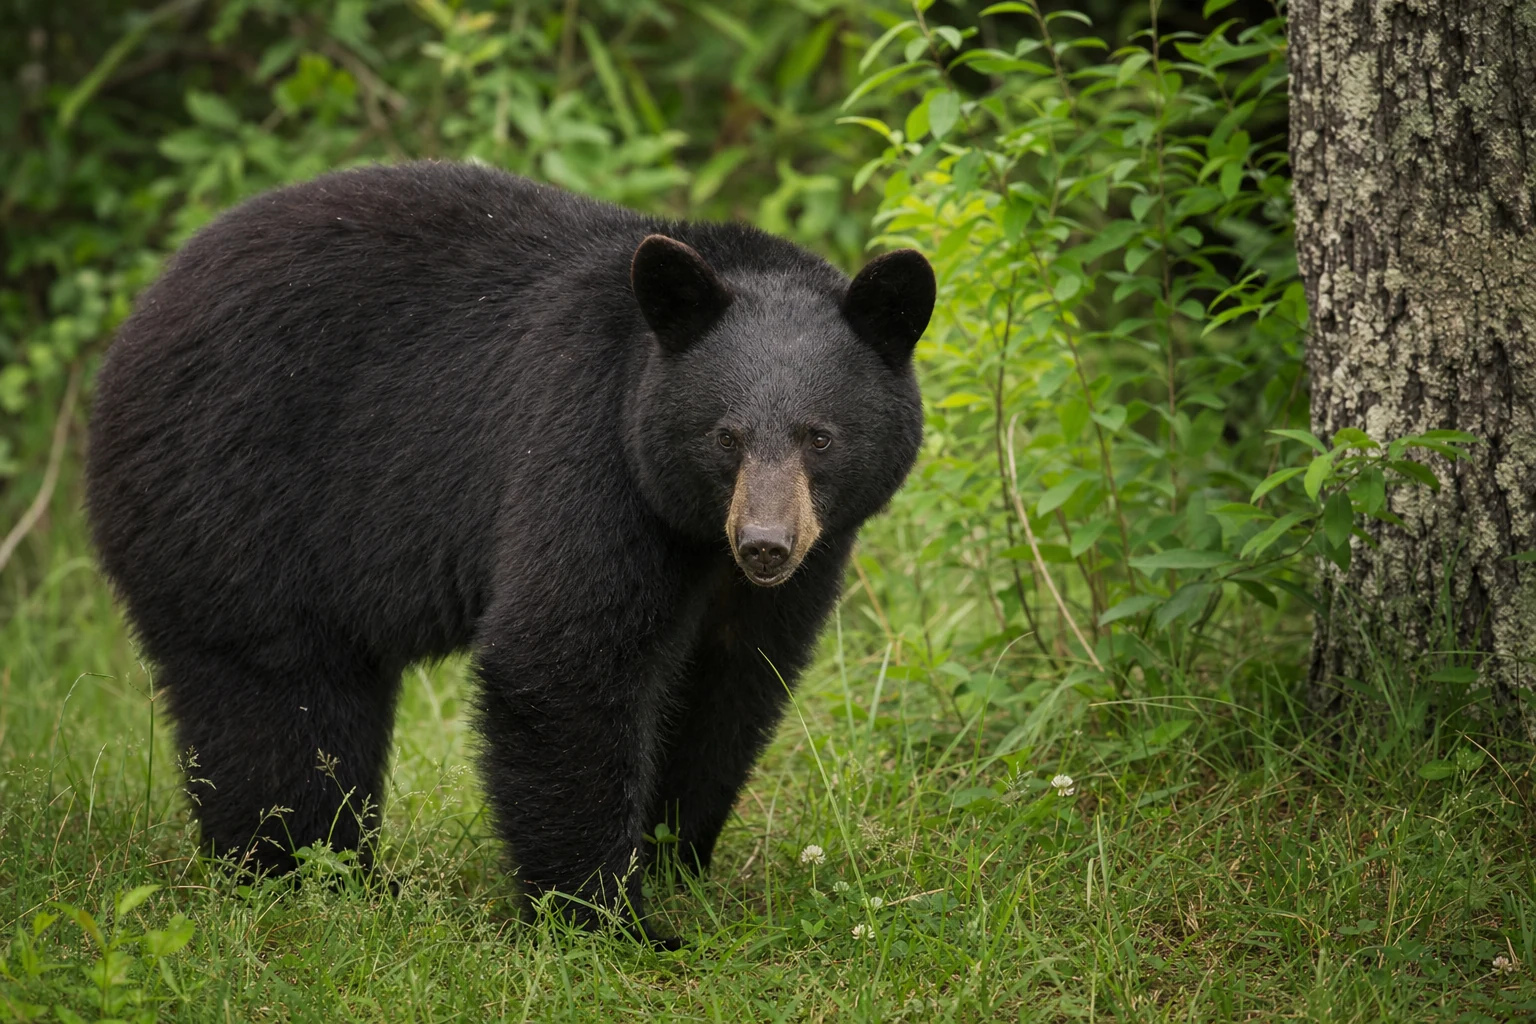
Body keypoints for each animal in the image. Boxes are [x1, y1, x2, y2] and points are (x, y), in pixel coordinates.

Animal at [84, 160, 933, 944]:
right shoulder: (587, 452)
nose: (764, 546)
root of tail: (137, 321)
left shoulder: (797, 557)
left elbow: (731, 681)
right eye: (725, 436)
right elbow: (562, 659)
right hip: (232, 496)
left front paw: (675, 858)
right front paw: (607, 919)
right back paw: (300, 872)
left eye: (820, 437)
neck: (695, 530)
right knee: (275, 696)